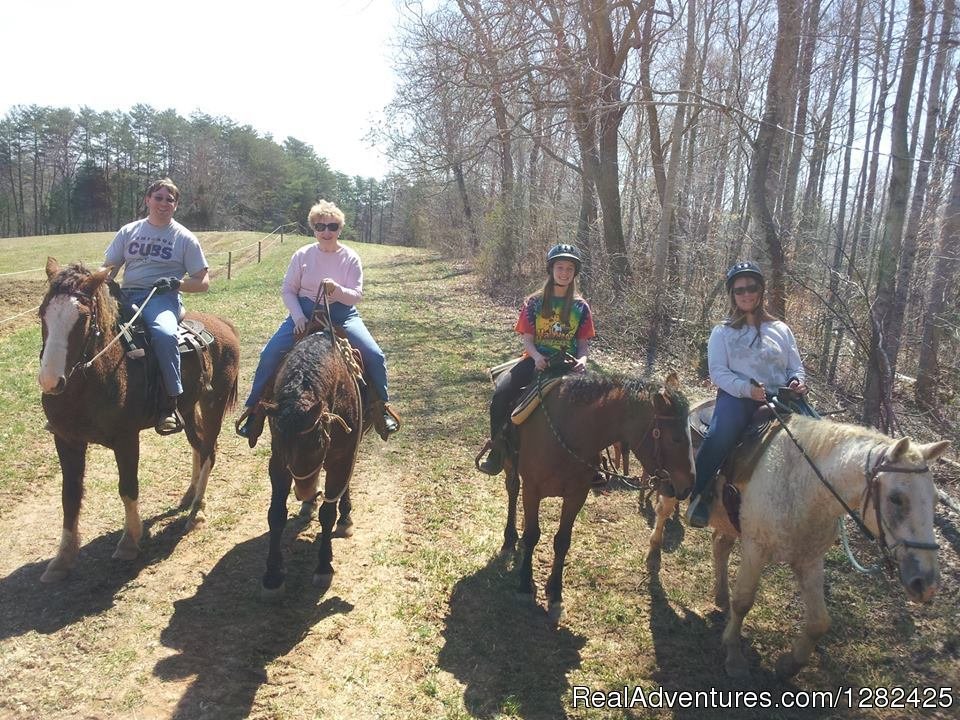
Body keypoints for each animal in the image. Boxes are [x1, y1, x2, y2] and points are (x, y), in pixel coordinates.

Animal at [37, 258, 240, 580]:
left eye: (83, 319)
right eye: (42, 314)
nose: (50, 381)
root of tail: (223, 325)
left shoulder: (126, 439)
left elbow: (128, 487)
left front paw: (129, 541)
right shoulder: (66, 440)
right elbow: (69, 496)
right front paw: (62, 558)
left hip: (213, 405)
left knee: (209, 450)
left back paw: (197, 510)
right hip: (187, 407)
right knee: (198, 446)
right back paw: (189, 495)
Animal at [258, 330, 364, 596]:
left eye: (317, 445)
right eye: (282, 446)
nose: (304, 491)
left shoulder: (340, 460)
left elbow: (328, 513)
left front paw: (324, 566)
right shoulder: (278, 464)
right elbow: (276, 514)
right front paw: (273, 575)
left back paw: (344, 517)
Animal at [502, 372, 688, 624]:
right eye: (676, 438)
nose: (688, 485)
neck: (571, 430)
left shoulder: (576, 495)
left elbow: (562, 542)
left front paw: (555, 594)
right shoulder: (533, 489)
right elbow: (533, 535)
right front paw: (523, 585)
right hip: (510, 465)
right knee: (512, 490)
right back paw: (509, 539)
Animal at [648, 408, 948, 676]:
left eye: (935, 499)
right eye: (896, 498)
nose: (926, 584)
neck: (804, 485)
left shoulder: (810, 560)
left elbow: (819, 623)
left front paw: (789, 665)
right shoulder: (755, 549)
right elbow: (743, 601)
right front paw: (734, 656)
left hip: (729, 520)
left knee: (720, 545)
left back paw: (720, 595)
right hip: (676, 489)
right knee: (663, 512)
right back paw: (653, 554)